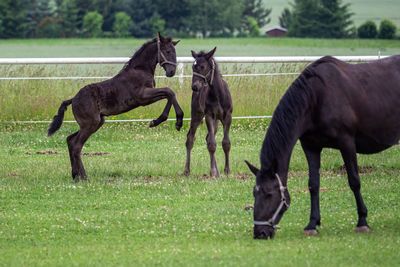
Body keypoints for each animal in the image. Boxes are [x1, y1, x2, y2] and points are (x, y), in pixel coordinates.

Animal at [47, 31, 184, 182]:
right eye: (168, 51)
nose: (171, 72)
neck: (140, 70)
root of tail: (73, 100)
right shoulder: (142, 96)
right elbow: (169, 91)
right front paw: (176, 121)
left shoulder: (147, 97)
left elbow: (168, 94)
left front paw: (157, 121)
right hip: (90, 123)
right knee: (76, 146)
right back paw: (84, 177)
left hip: (96, 123)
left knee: (70, 140)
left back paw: (75, 175)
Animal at [184, 48, 234, 178]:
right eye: (193, 67)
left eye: (203, 66)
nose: (195, 87)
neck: (218, 94)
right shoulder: (209, 116)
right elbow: (212, 144)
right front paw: (212, 172)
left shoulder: (228, 116)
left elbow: (226, 143)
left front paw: (227, 170)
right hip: (196, 115)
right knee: (190, 139)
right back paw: (186, 170)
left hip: (216, 121)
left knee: (207, 138)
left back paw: (218, 172)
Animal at [245, 55, 398, 240]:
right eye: (254, 193)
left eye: (269, 194)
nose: (259, 233)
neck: (317, 97)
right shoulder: (311, 147)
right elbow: (313, 185)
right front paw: (312, 224)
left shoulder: (347, 143)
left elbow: (354, 181)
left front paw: (362, 221)